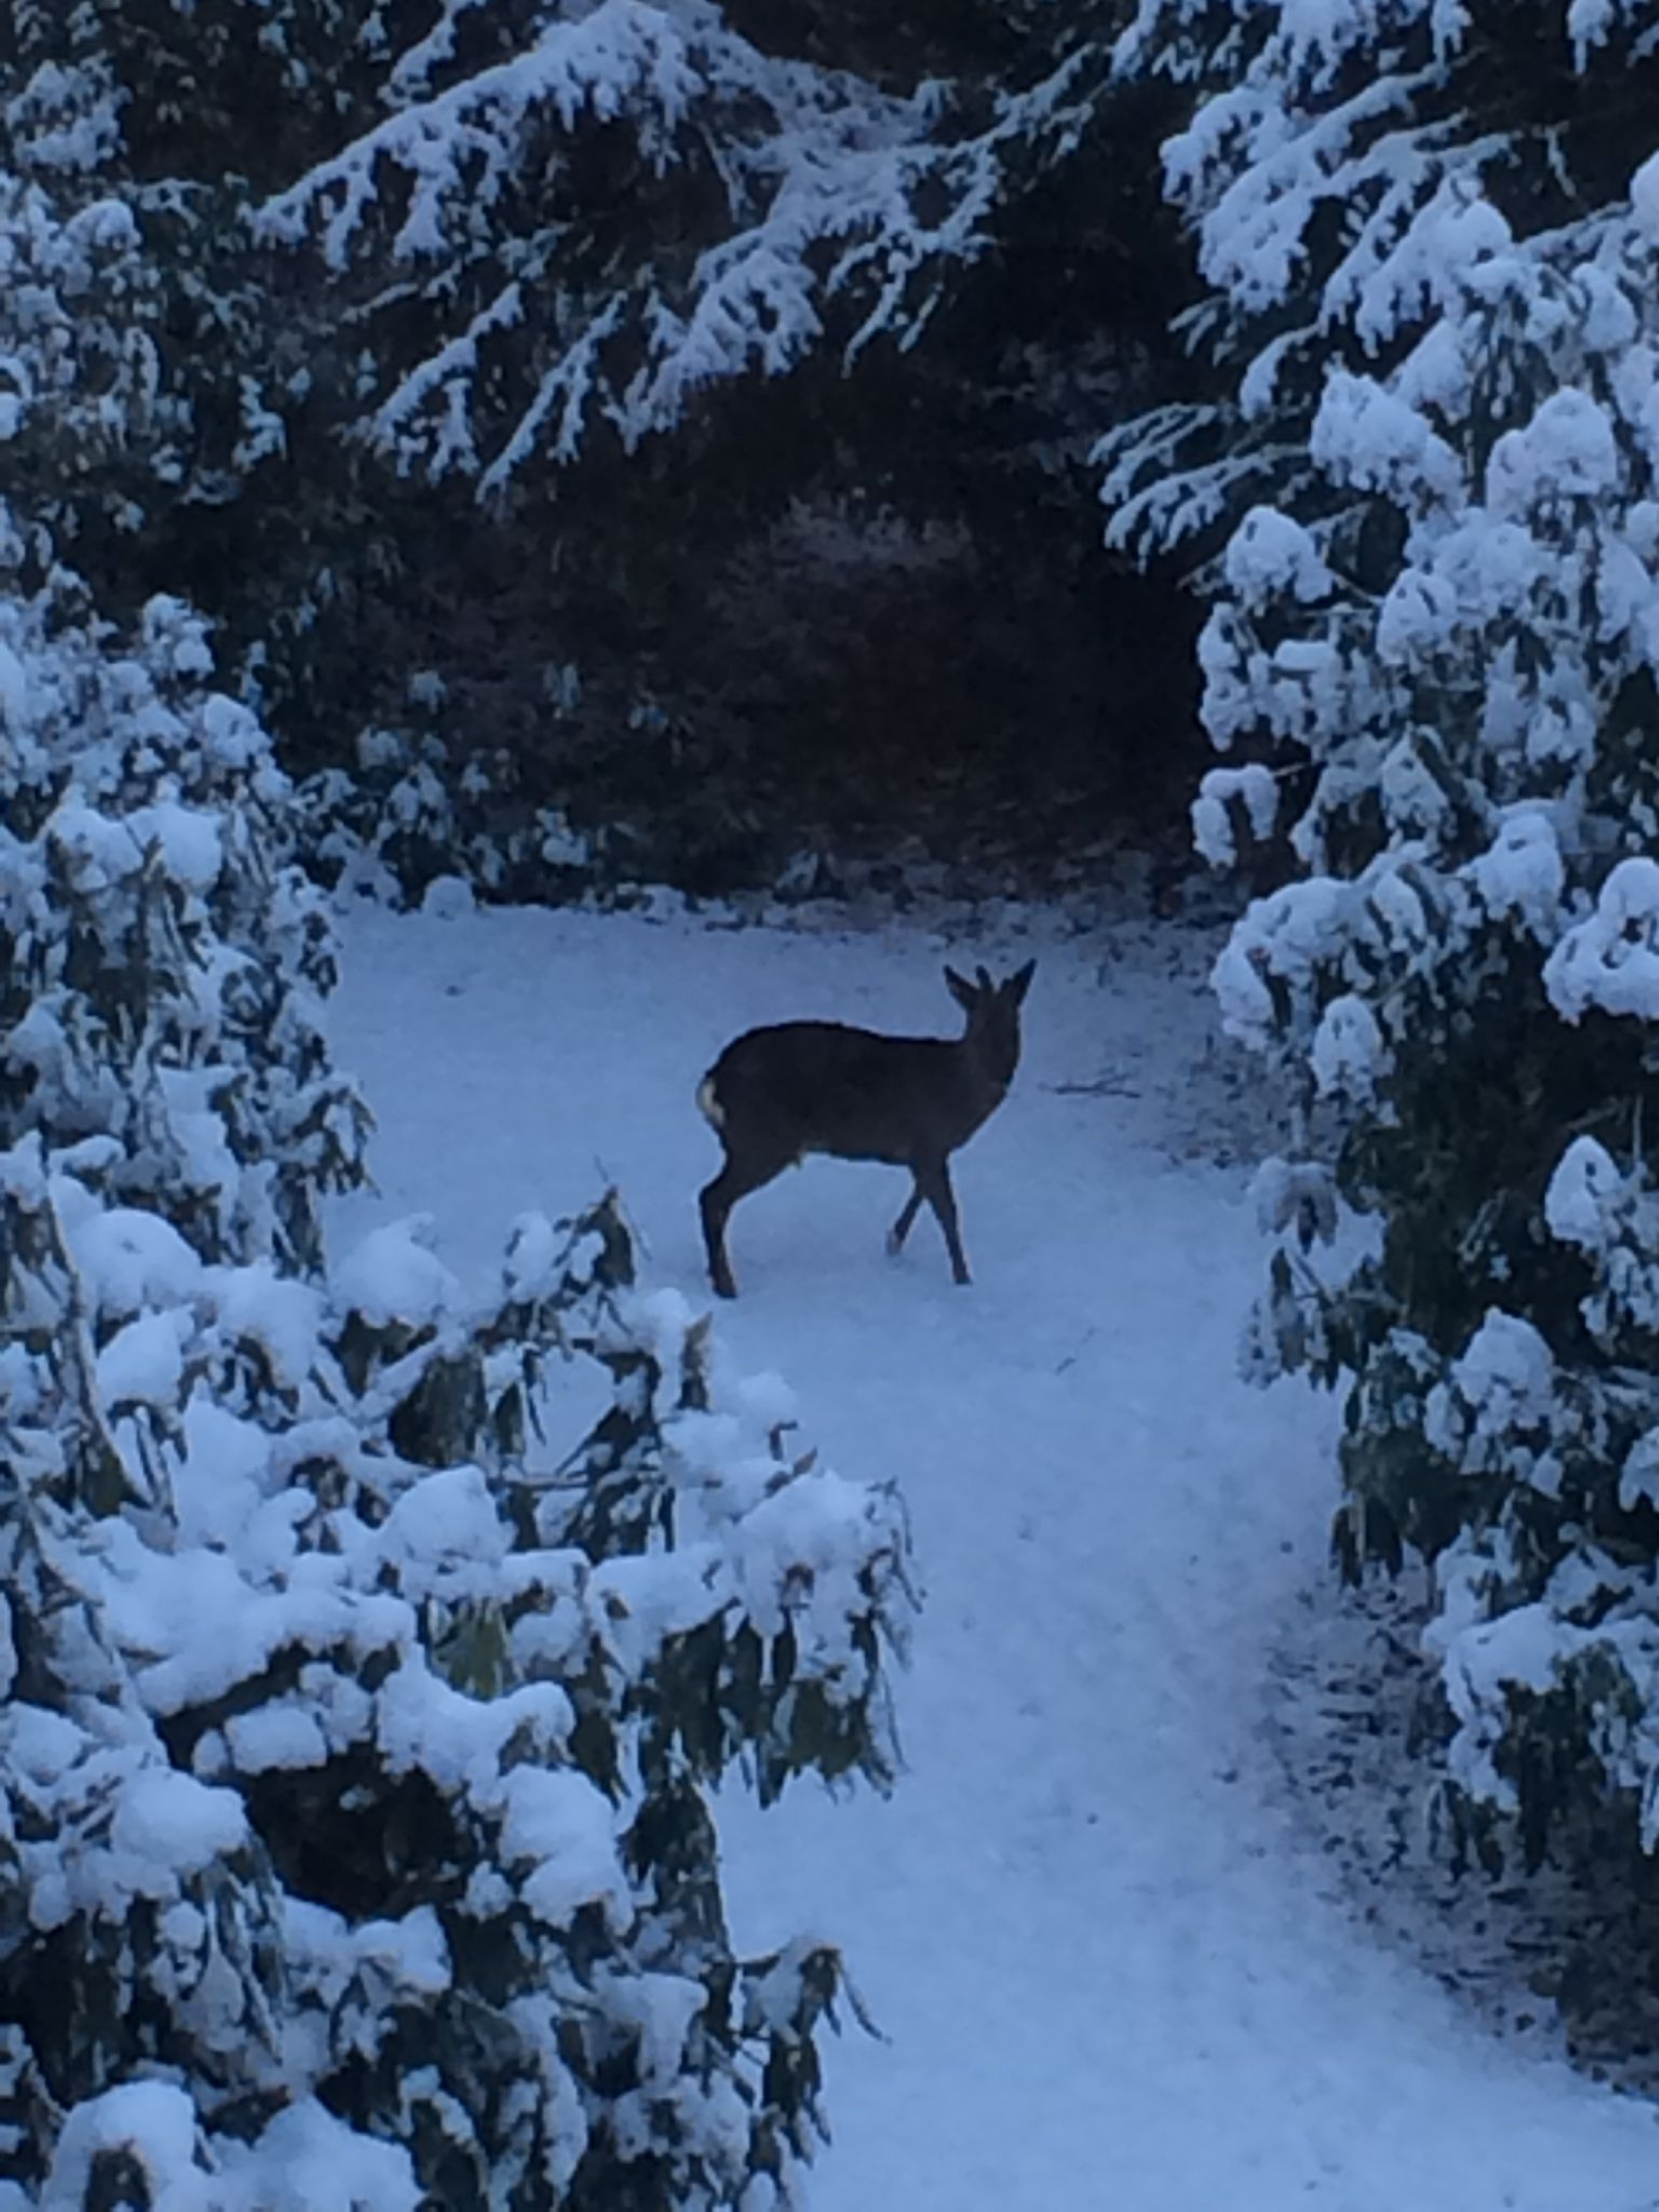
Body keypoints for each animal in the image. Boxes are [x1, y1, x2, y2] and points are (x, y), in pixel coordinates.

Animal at [696, 960, 1036, 1298]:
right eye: (978, 1022)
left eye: (1015, 1021)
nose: (1000, 1068)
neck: (958, 1090)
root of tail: (714, 1080)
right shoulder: (928, 1140)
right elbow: (947, 1212)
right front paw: (963, 1278)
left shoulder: (929, 1151)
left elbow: (921, 1194)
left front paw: (894, 1241)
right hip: (762, 1139)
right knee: (711, 1197)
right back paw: (726, 1285)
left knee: (714, 1198)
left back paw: (715, 1275)